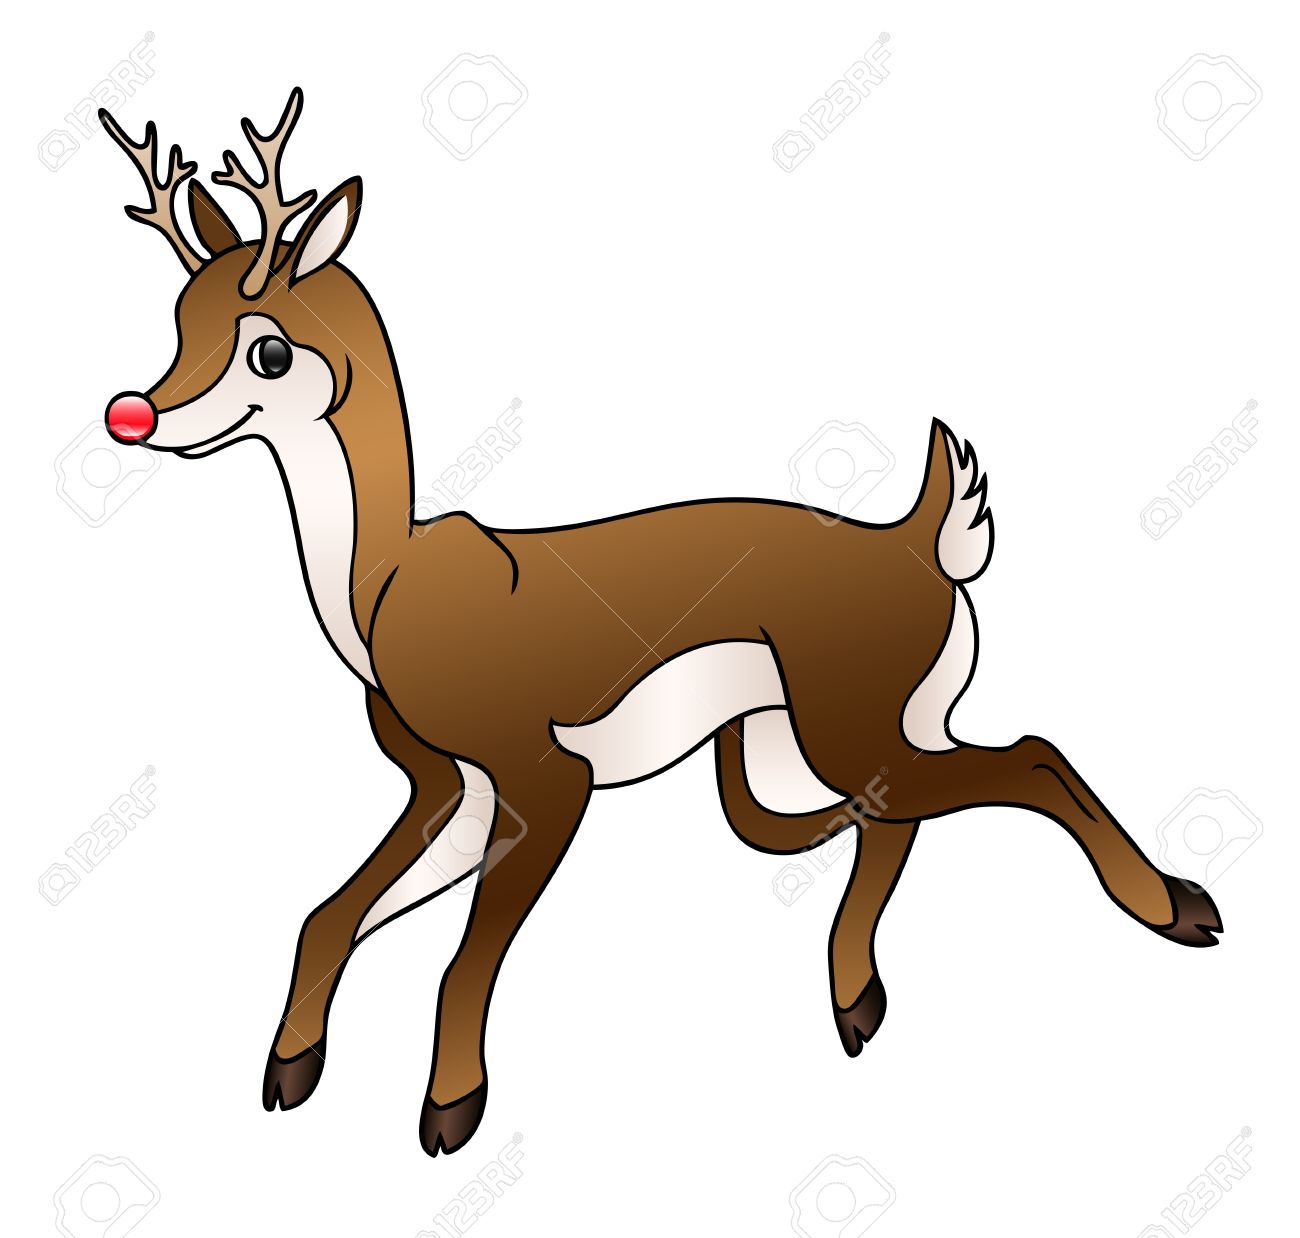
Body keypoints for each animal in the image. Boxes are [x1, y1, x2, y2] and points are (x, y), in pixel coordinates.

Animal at [97, 89, 1222, 1159]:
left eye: (269, 350)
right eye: (179, 320)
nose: (135, 414)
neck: (385, 587)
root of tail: (922, 537)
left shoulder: (545, 778)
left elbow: (465, 955)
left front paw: (450, 1110)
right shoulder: (448, 786)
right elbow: (326, 915)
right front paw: (288, 1071)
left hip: (843, 730)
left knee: (1029, 756)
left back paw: (1178, 909)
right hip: (816, 741)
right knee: (896, 819)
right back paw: (854, 1003)